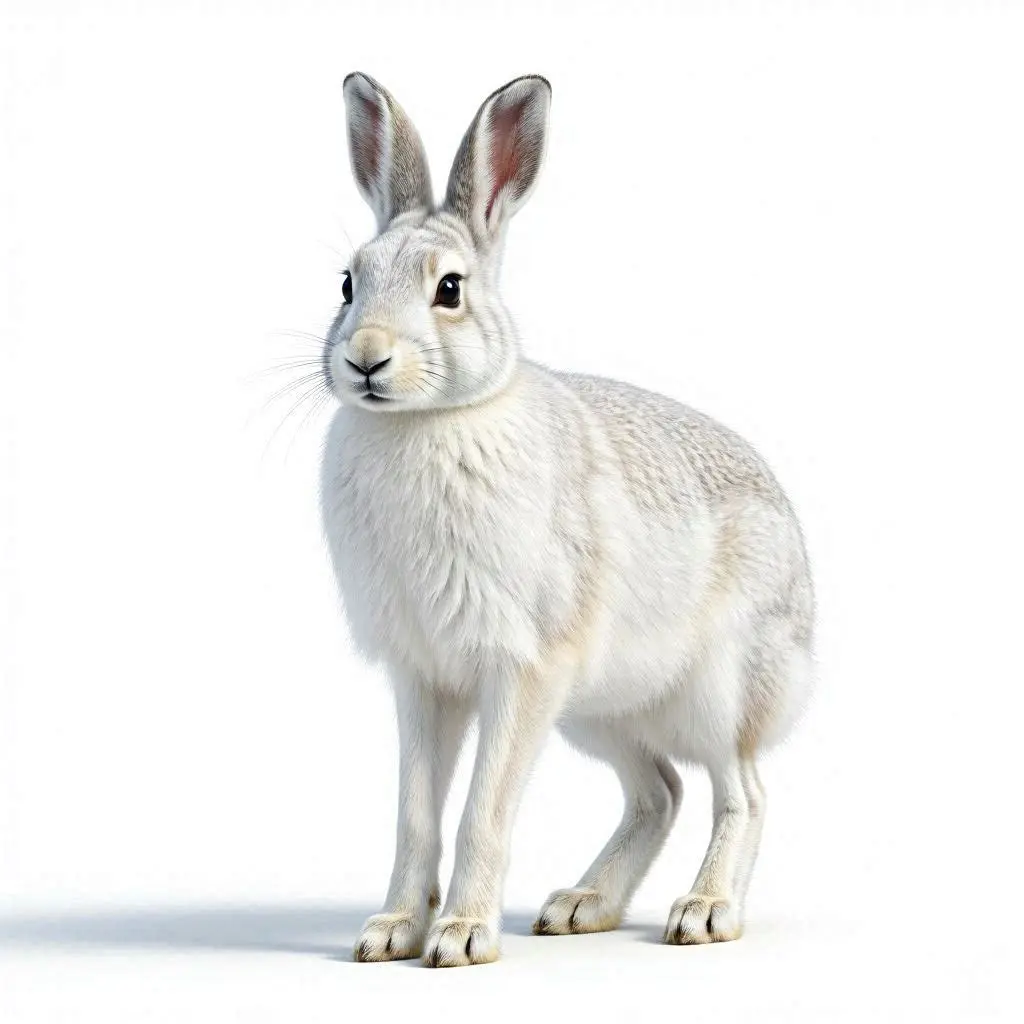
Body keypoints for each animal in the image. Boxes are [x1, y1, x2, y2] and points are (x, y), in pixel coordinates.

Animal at [319, 71, 815, 968]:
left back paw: (704, 911)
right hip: (600, 711)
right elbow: (415, 816)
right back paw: (582, 906)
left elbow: (482, 811)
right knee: (661, 790)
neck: (426, 421)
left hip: (720, 689)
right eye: (347, 283)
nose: (365, 357)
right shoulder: (422, 676)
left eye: (450, 290)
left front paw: (462, 938)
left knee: (742, 791)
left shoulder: (522, 666)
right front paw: (390, 933)